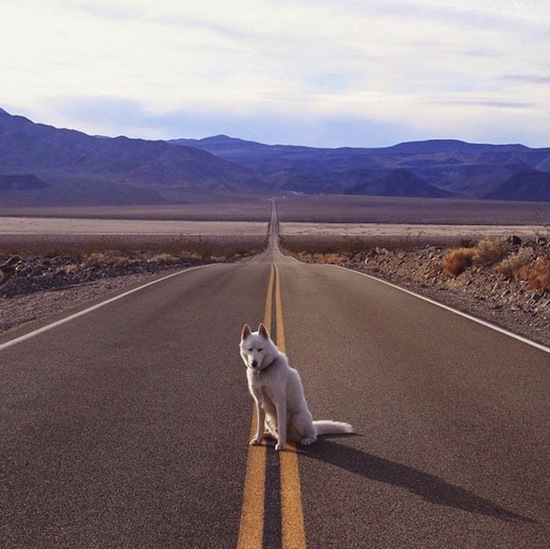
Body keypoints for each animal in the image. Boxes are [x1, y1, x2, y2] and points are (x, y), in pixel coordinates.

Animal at [240, 322, 354, 450]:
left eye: (260, 349)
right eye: (250, 349)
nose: (253, 363)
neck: (262, 372)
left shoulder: (279, 401)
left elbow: (281, 425)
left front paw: (281, 444)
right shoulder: (259, 403)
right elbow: (259, 425)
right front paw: (258, 439)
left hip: (298, 419)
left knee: (313, 436)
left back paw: (305, 440)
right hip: (269, 421)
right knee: (275, 432)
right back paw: (267, 435)